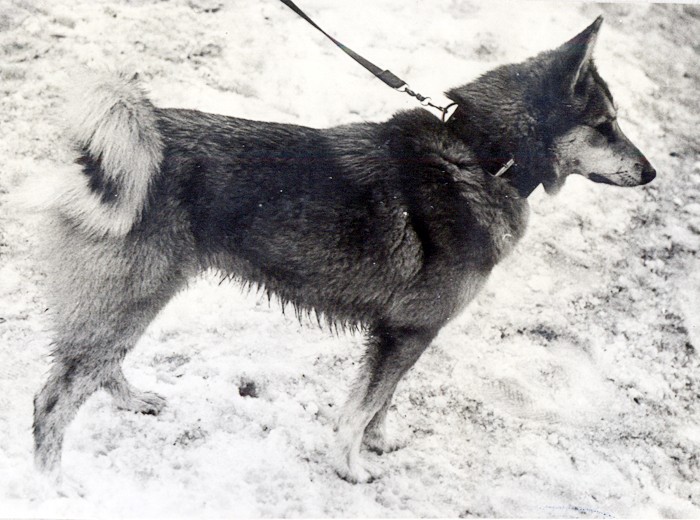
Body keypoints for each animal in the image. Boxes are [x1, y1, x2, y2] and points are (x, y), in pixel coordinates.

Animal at [33, 15, 655, 484]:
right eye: (605, 126)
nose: (651, 172)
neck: (481, 156)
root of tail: (108, 152)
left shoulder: (405, 336)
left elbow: (382, 402)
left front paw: (378, 442)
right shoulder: (406, 332)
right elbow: (360, 409)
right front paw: (351, 468)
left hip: (129, 302)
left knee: (96, 369)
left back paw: (134, 402)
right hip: (130, 300)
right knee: (53, 401)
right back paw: (52, 489)